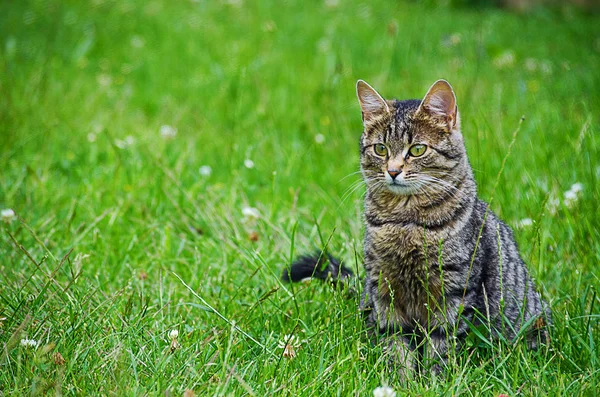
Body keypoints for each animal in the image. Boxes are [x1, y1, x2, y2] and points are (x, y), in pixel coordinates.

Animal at [284, 78, 552, 374]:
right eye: (381, 149)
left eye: (417, 149)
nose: (392, 171)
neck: (405, 222)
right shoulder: (384, 291)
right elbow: (395, 344)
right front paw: (400, 379)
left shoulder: (453, 292)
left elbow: (441, 346)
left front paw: (435, 379)